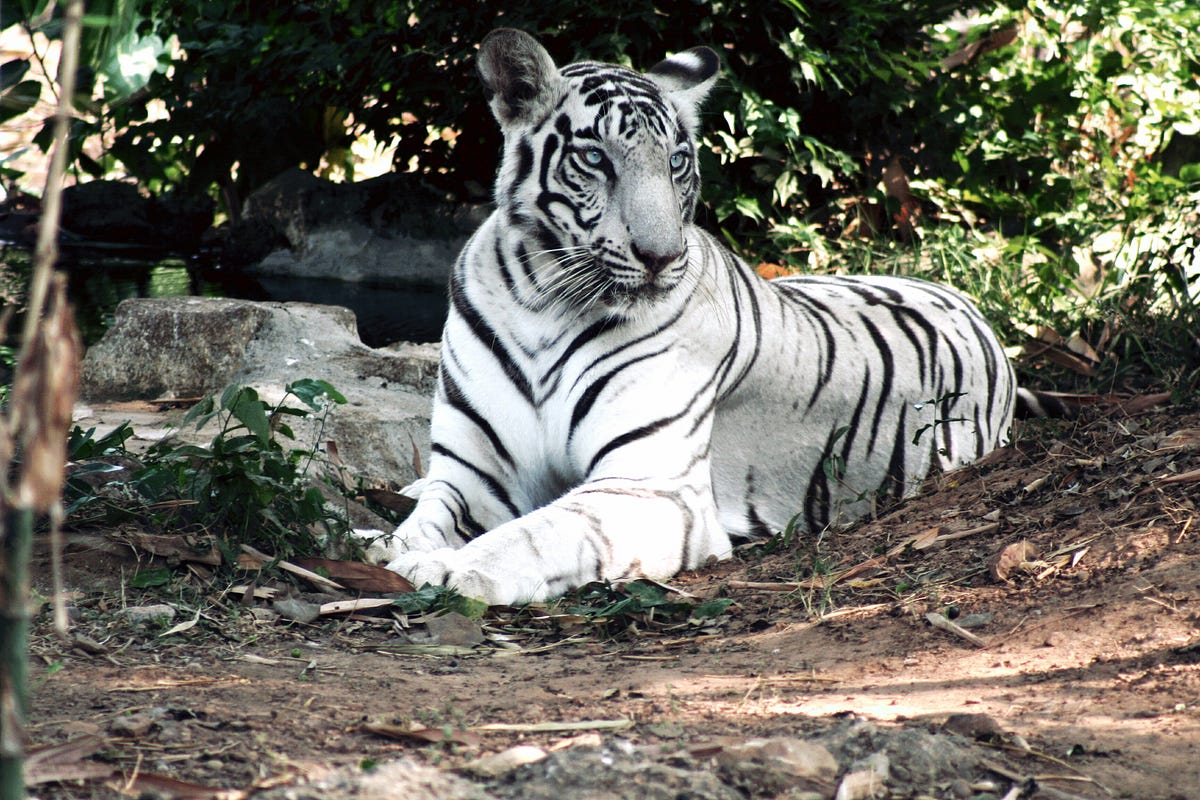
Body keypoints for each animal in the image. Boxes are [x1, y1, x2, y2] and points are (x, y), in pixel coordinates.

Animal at [359, 28, 1020, 606]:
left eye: (676, 161)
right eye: (595, 157)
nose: (661, 256)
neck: (543, 299)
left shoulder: (650, 485)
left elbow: (539, 531)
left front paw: (452, 569)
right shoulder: (473, 475)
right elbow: (428, 519)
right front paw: (397, 547)